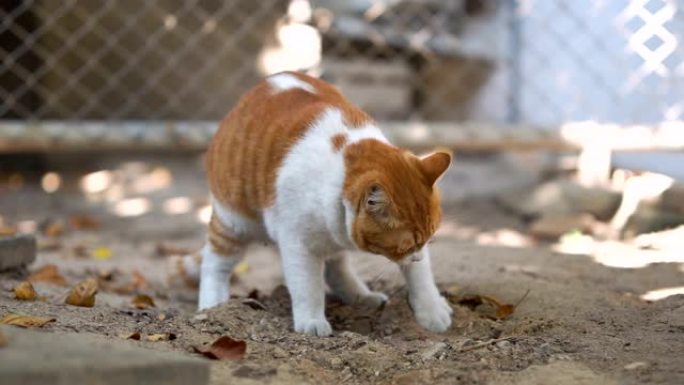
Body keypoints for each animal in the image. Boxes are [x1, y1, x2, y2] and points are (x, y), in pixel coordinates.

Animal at [171, 70, 452, 334]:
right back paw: (213, 306)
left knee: (336, 264)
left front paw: (432, 310)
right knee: (215, 263)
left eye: (427, 240)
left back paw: (361, 296)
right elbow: (308, 287)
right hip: (234, 223)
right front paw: (312, 322)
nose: (416, 258)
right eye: (407, 246)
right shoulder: (299, 244)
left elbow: (422, 279)